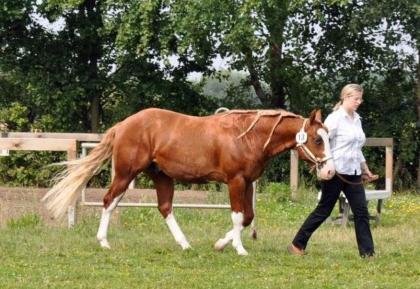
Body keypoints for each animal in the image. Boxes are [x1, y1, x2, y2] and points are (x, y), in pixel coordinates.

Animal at [42, 107, 334, 254]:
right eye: (317, 139)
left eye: (328, 136)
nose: (330, 172)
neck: (247, 135)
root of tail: (123, 125)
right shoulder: (235, 181)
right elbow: (238, 216)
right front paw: (239, 249)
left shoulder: (248, 182)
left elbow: (248, 217)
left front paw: (221, 244)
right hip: (126, 173)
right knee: (109, 201)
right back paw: (103, 241)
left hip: (161, 176)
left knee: (165, 208)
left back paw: (184, 244)